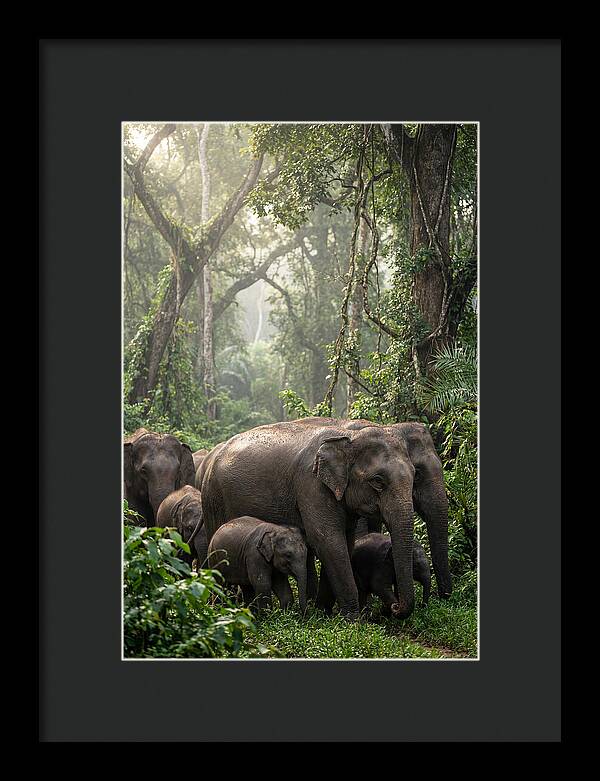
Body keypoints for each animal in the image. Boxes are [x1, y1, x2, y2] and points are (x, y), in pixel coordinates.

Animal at [200, 419, 417, 620]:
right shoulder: (311, 486)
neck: (349, 437)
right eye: (378, 481)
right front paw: (352, 620)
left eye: (415, 475)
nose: (395, 607)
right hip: (213, 500)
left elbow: (344, 542)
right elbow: (327, 540)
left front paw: (323, 612)